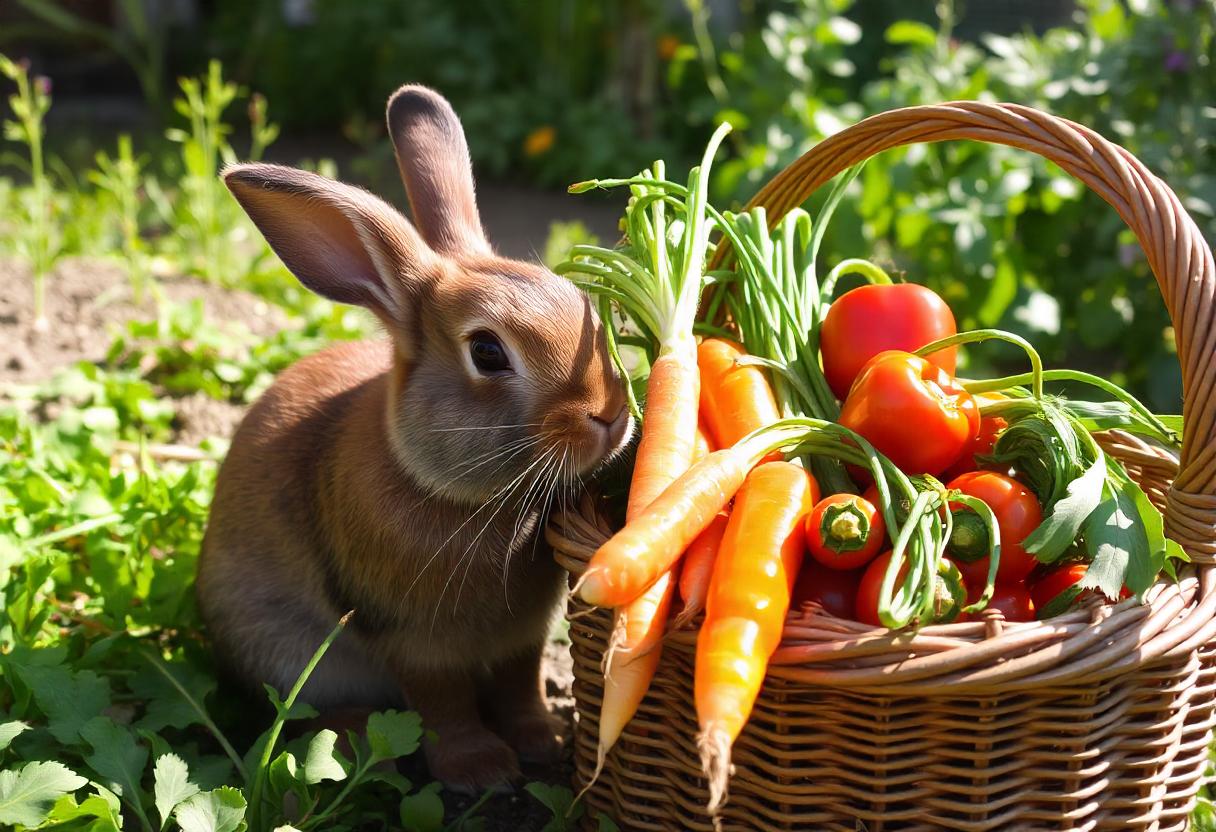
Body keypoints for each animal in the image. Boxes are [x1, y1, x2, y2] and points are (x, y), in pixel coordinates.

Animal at [196, 84, 633, 792]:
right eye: (487, 352)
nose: (610, 414)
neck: (466, 497)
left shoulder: (522, 638)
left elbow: (519, 686)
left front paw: (543, 741)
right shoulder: (416, 644)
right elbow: (444, 703)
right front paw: (481, 770)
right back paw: (349, 737)